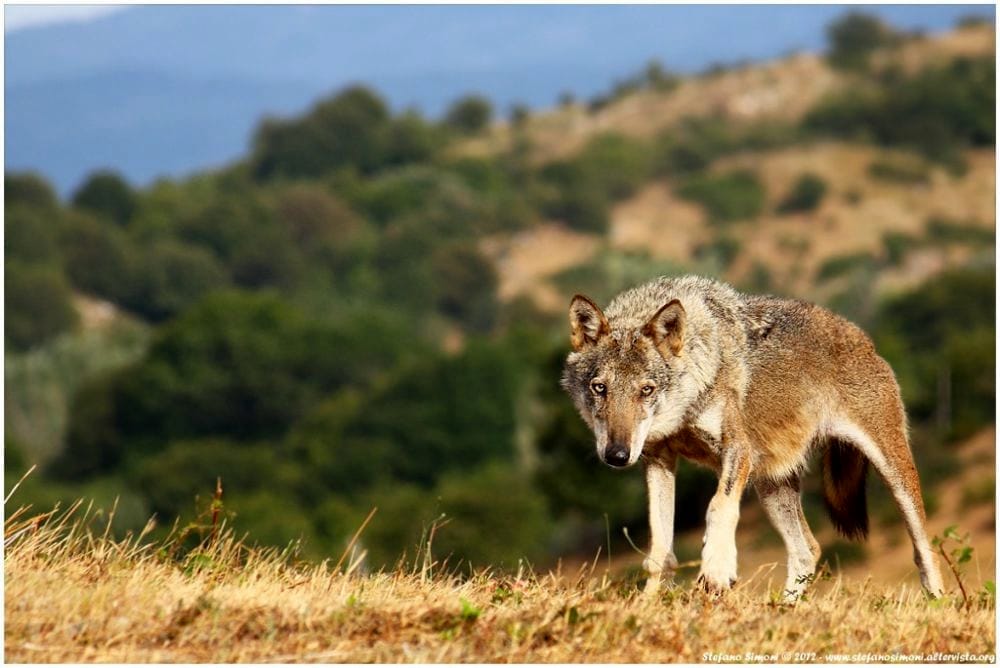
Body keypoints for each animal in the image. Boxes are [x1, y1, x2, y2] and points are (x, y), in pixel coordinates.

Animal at [564, 276, 944, 600]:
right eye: (600, 388)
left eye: (646, 390)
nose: (616, 455)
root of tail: (864, 339)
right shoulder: (658, 459)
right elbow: (660, 547)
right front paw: (648, 602)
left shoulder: (737, 449)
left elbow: (718, 507)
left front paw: (716, 570)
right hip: (771, 485)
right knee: (808, 550)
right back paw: (784, 610)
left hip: (894, 475)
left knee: (924, 551)